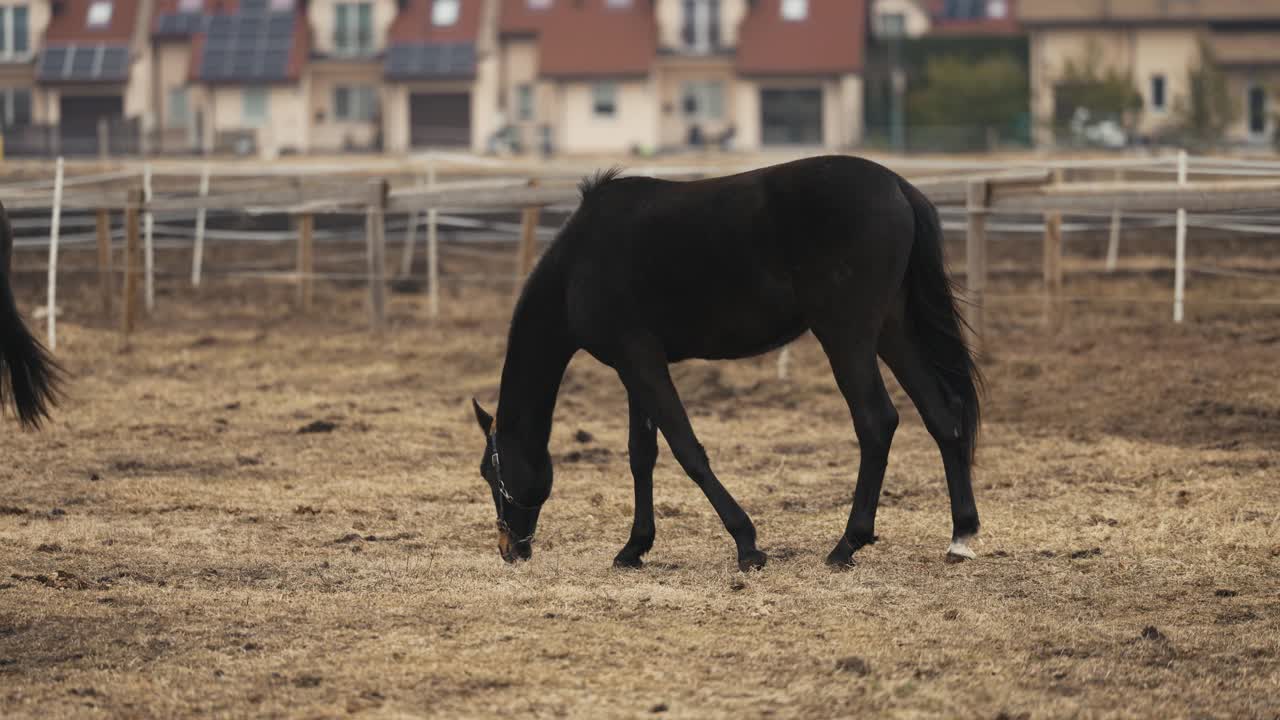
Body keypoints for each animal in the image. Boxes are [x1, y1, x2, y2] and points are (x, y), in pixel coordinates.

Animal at [471, 154, 977, 568]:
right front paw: (634, 547)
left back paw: (846, 544)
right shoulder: (634, 366)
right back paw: (961, 536)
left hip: (846, 335)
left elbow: (686, 448)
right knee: (941, 415)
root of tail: (899, 188)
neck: (577, 264)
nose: (509, 549)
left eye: (490, 471)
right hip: (893, 329)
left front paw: (747, 544)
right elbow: (642, 454)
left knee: (877, 422)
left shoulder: (640, 362)